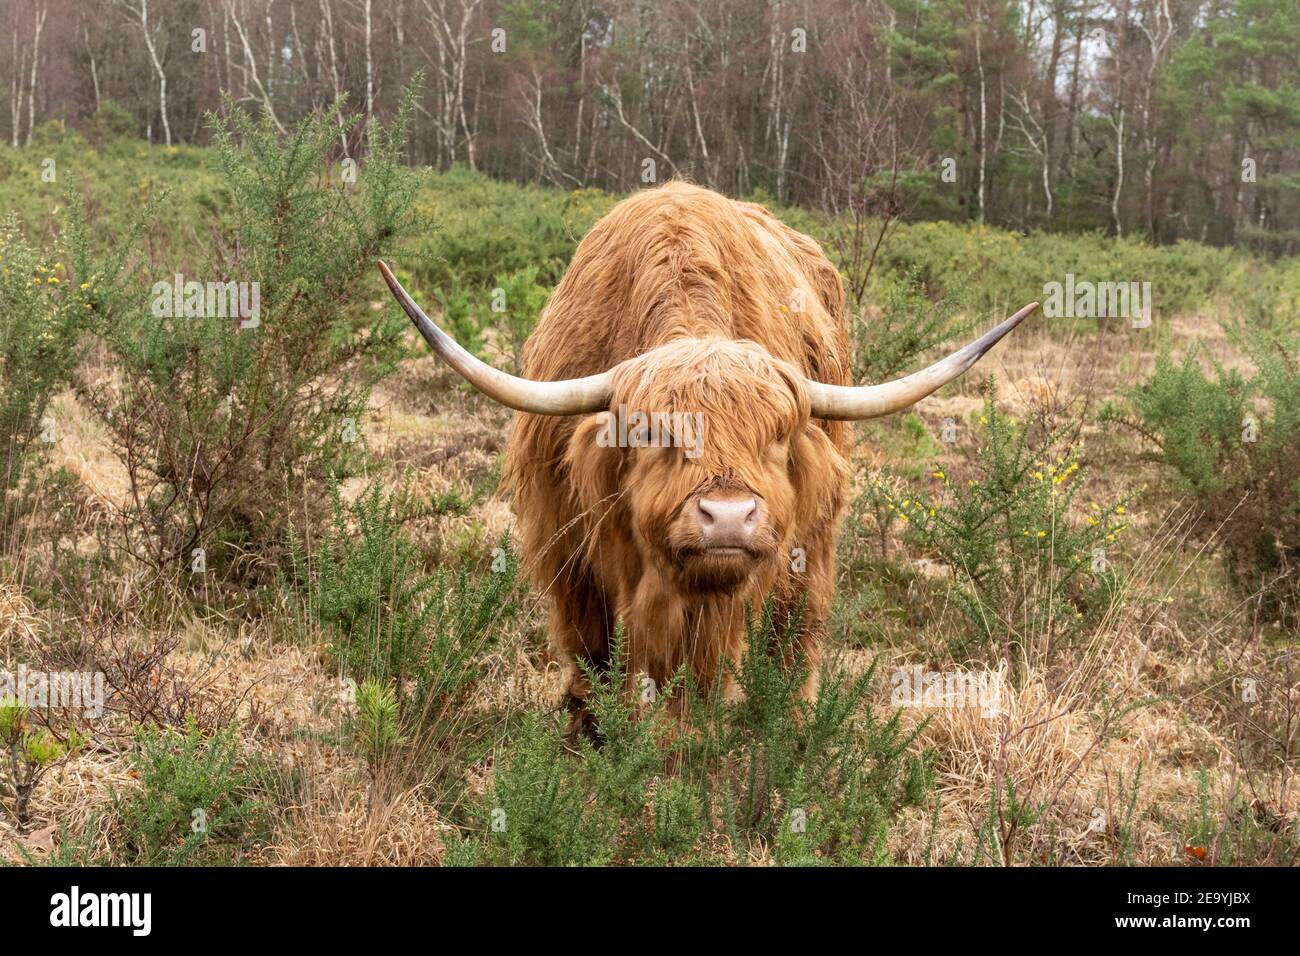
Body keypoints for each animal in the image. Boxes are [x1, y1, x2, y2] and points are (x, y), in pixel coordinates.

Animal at [377, 183, 1034, 738]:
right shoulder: (566, 547)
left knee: (797, 631)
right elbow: (592, 655)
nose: (728, 517)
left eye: (775, 437)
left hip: (812, 547)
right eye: (650, 433)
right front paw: (588, 736)